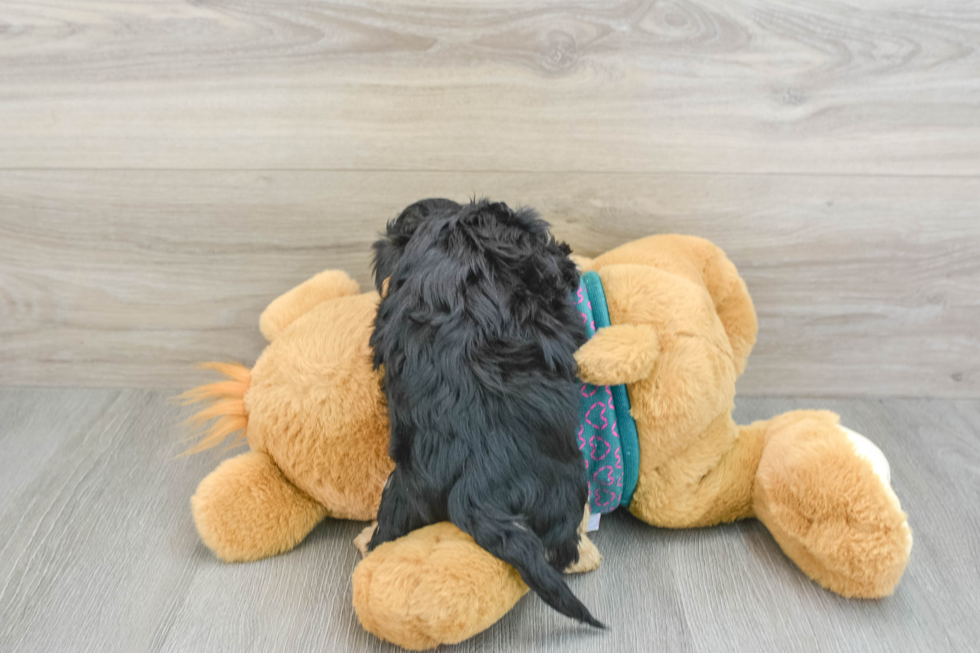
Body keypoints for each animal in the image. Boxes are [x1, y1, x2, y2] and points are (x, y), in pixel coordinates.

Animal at [366, 196, 600, 624]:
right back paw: (574, 554)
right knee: (559, 544)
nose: (566, 253)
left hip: (403, 494)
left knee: (388, 526)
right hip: (565, 486)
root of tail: (472, 488)